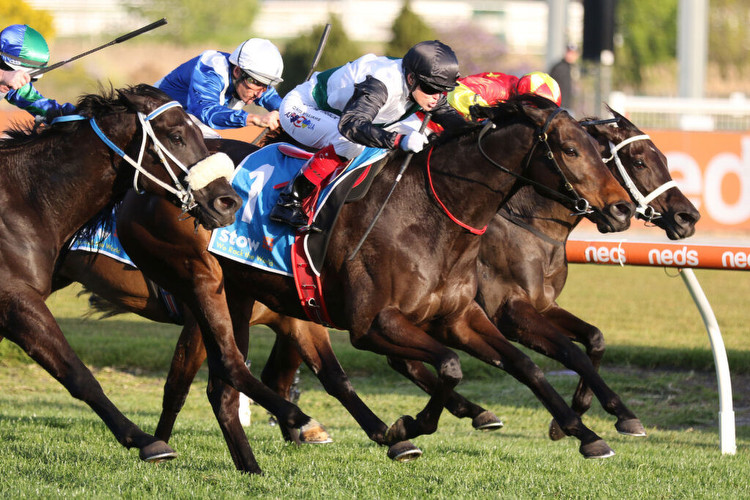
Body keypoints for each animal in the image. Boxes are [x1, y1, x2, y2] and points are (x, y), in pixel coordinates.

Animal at [0, 85, 241, 464]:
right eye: (176, 136)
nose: (227, 202)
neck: (25, 198)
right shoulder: (15, 298)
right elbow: (78, 373)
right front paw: (146, 440)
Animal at [110, 94, 640, 472]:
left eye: (600, 153)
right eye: (569, 150)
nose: (620, 209)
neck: (432, 213)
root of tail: (139, 192)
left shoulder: (460, 317)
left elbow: (524, 365)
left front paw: (585, 432)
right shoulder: (374, 323)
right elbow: (450, 366)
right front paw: (413, 423)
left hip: (251, 296)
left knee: (232, 383)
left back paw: (254, 462)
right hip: (204, 288)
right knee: (217, 373)